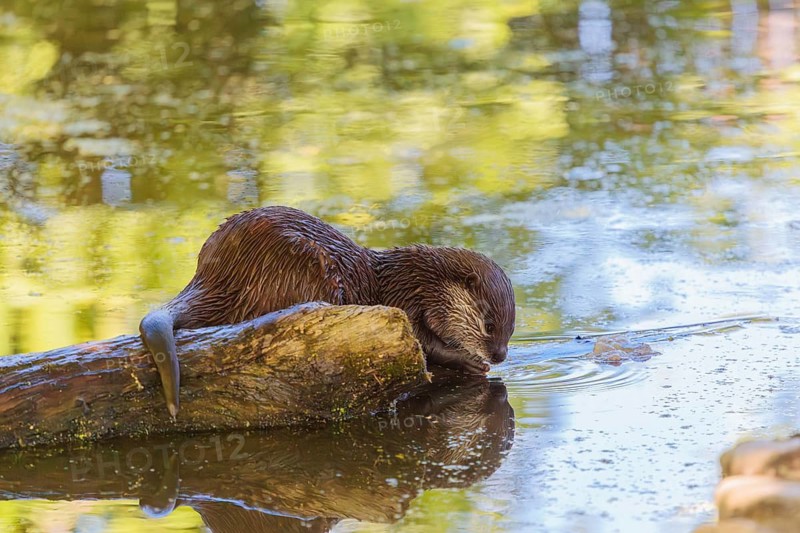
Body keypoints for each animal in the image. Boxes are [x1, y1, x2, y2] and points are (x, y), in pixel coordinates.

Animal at [140, 206, 515, 418]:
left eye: (510, 330)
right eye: (488, 324)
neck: (421, 282)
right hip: (303, 268)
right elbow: (423, 345)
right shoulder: (408, 301)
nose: (499, 355)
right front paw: (467, 361)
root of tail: (215, 275)